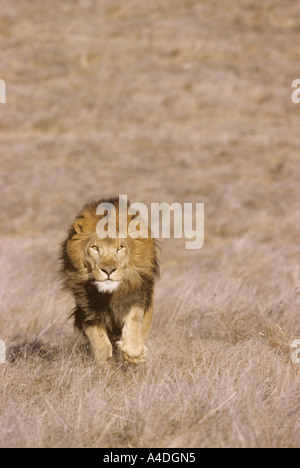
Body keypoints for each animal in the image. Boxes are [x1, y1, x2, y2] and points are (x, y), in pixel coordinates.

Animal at [60, 196, 159, 364]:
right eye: (94, 247)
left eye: (120, 247)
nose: (108, 270)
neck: (108, 295)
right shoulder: (87, 309)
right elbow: (99, 342)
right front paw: (105, 358)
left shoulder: (136, 297)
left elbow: (134, 320)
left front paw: (134, 354)